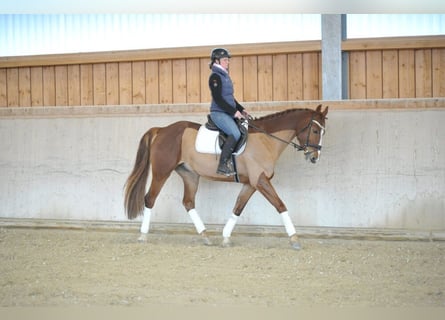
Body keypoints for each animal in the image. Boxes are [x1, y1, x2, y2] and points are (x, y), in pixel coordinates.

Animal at [123, 104, 328, 249]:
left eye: (323, 132)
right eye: (315, 131)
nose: (314, 157)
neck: (266, 139)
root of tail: (162, 129)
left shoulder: (251, 183)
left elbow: (238, 208)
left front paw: (226, 237)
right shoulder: (260, 180)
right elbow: (280, 205)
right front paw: (294, 239)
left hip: (190, 175)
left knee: (188, 202)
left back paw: (205, 236)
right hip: (162, 172)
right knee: (150, 199)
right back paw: (143, 235)